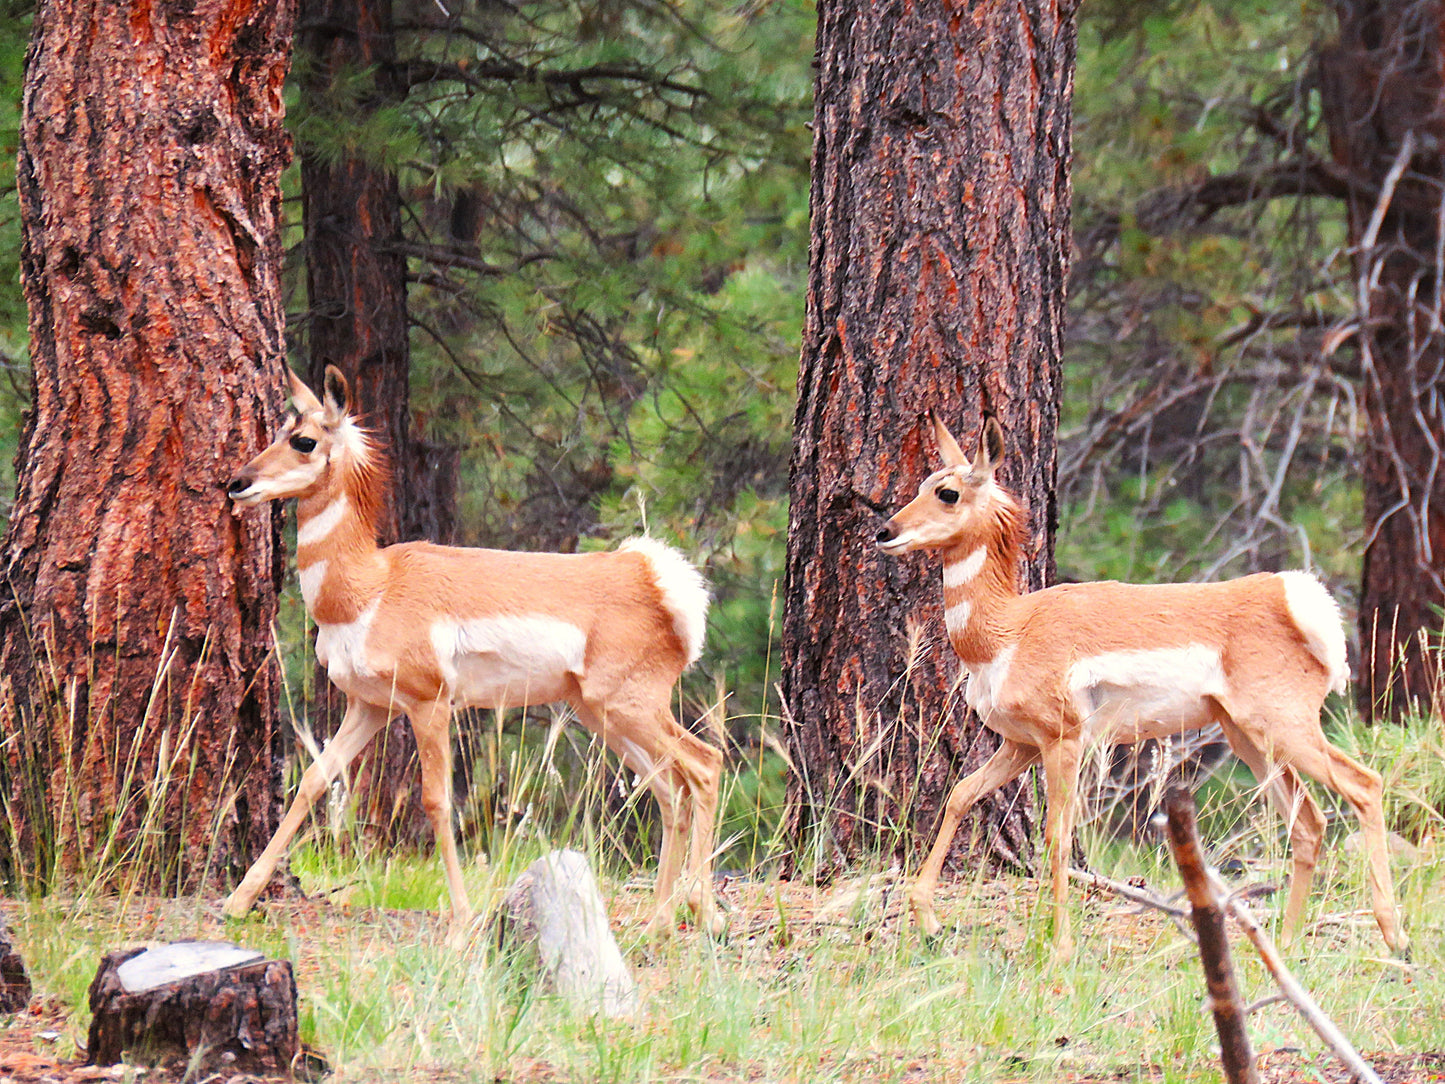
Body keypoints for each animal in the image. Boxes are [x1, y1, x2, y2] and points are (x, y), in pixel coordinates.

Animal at [223, 370, 722, 936]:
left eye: (304, 440)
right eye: (279, 429)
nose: (237, 483)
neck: (372, 585)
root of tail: (650, 575)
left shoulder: (429, 704)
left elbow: (437, 800)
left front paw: (462, 919)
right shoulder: (368, 707)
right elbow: (312, 780)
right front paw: (238, 901)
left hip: (629, 707)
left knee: (704, 766)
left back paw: (704, 912)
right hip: (600, 714)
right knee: (670, 788)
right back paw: (660, 920)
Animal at [872, 410, 1404, 959]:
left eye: (948, 492)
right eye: (922, 483)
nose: (884, 531)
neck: (1010, 629)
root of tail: (1288, 595)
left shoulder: (1063, 740)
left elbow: (1056, 835)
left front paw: (1061, 948)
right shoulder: (1022, 744)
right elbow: (960, 795)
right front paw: (927, 920)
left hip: (1286, 729)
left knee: (1365, 785)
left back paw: (1395, 938)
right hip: (1249, 738)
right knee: (1310, 823)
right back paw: (1288, 941)